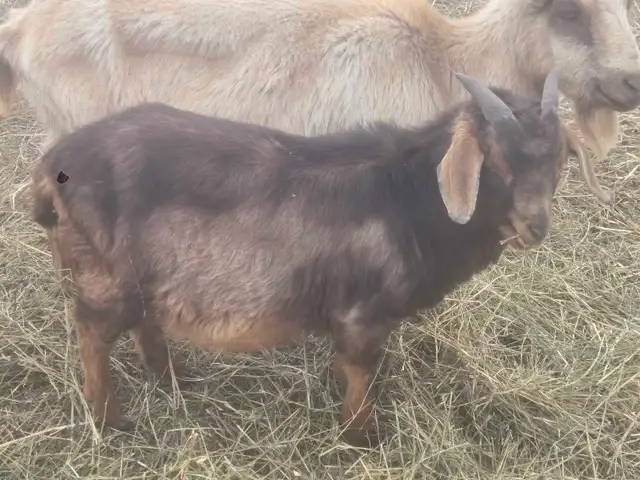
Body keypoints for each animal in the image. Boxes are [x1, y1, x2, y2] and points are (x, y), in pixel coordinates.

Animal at [31, 70, 568, 447]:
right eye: (496, 162)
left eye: (559, 162)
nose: (535, 228)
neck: (407, 196)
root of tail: (52, 166)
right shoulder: (362, 314)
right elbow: (364, 371)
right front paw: (361, 436)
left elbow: (348, 366)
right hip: (105, 277)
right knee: (91, 331)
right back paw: (109, 417)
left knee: (143, 320)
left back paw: (171, 377)